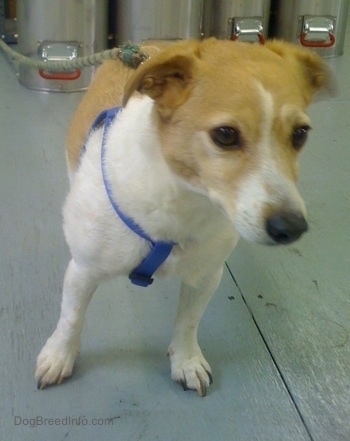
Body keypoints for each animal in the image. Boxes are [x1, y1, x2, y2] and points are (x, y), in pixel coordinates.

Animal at [34, 37, 330, 396]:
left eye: (301, 133)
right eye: (225, 135)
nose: (292, 227)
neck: (182, 202)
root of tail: (151, 45)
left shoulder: (206, 276)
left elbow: (188, 323)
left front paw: (186, 361)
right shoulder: (83, 271)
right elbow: (71, 318)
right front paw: (59, 355)